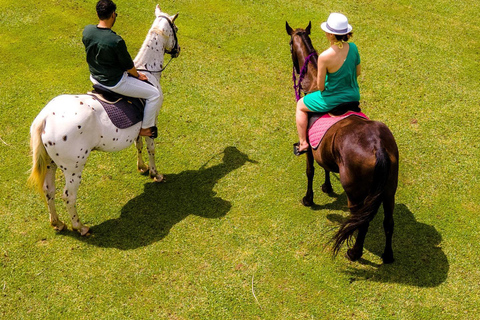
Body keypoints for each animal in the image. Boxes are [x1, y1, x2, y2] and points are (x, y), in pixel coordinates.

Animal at [28, 5, 182, 235]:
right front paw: (156, 173)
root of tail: (45, 117)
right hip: (73, 168)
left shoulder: (140, 126)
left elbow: (138, 144)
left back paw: (57, 223)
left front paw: (142, 167)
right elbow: (151, 148)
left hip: (50, 163)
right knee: (68, 196)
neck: (146, 71)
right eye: (176, 29)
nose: (178, 50)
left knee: (49, 190)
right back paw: (80, 226)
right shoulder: (152, 118)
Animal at [286, 21, 400, 262]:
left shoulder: (309, 148)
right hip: (389, 190)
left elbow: (310, 170)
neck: (313, 82)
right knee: (388, 222)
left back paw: (354, 252)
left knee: (362, 222)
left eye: (290, 43)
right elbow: (325, 167)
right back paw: (387, 255)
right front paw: (327, 186)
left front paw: (309, 198)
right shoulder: (323, 149)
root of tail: (378, 147)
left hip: (356, 196)